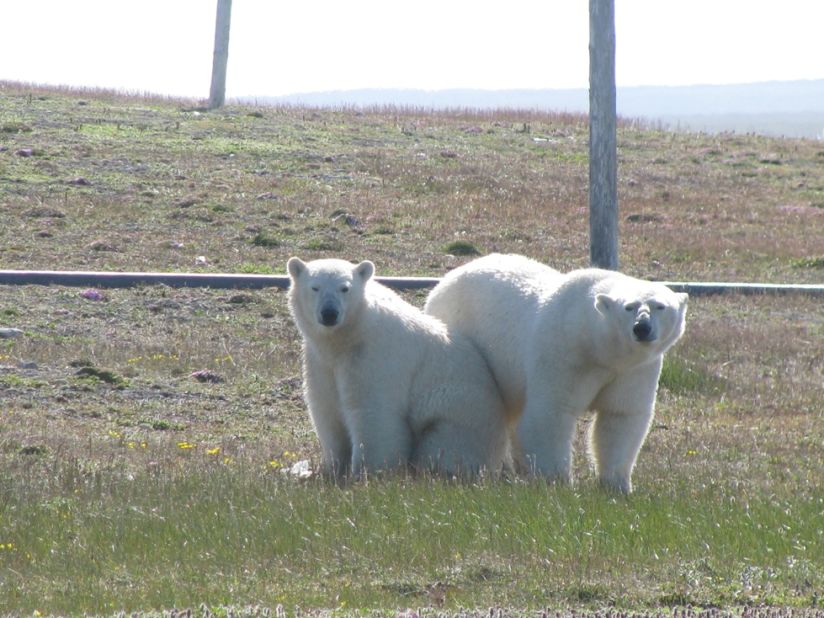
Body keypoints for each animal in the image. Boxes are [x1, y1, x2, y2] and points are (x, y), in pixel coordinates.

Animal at [288, 255, 508, 476]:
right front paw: (331, 469)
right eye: (315, 287)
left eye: (345, 288)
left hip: (458, 414)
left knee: (444, 446)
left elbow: (373, 413)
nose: (329, 313)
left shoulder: (373, 357)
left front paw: (365, 472)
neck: (348, 337)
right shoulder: (320, 361)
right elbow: (326, 409)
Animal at [424, 250, 688, 490]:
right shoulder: (563, 352)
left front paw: (617, 485)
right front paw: (557, 481)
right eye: (629, 307)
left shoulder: (634, 369)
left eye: (660, 306)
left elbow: (620, 416)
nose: (642, 328)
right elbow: (550, 412)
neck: (595, 345)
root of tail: (445, 279)